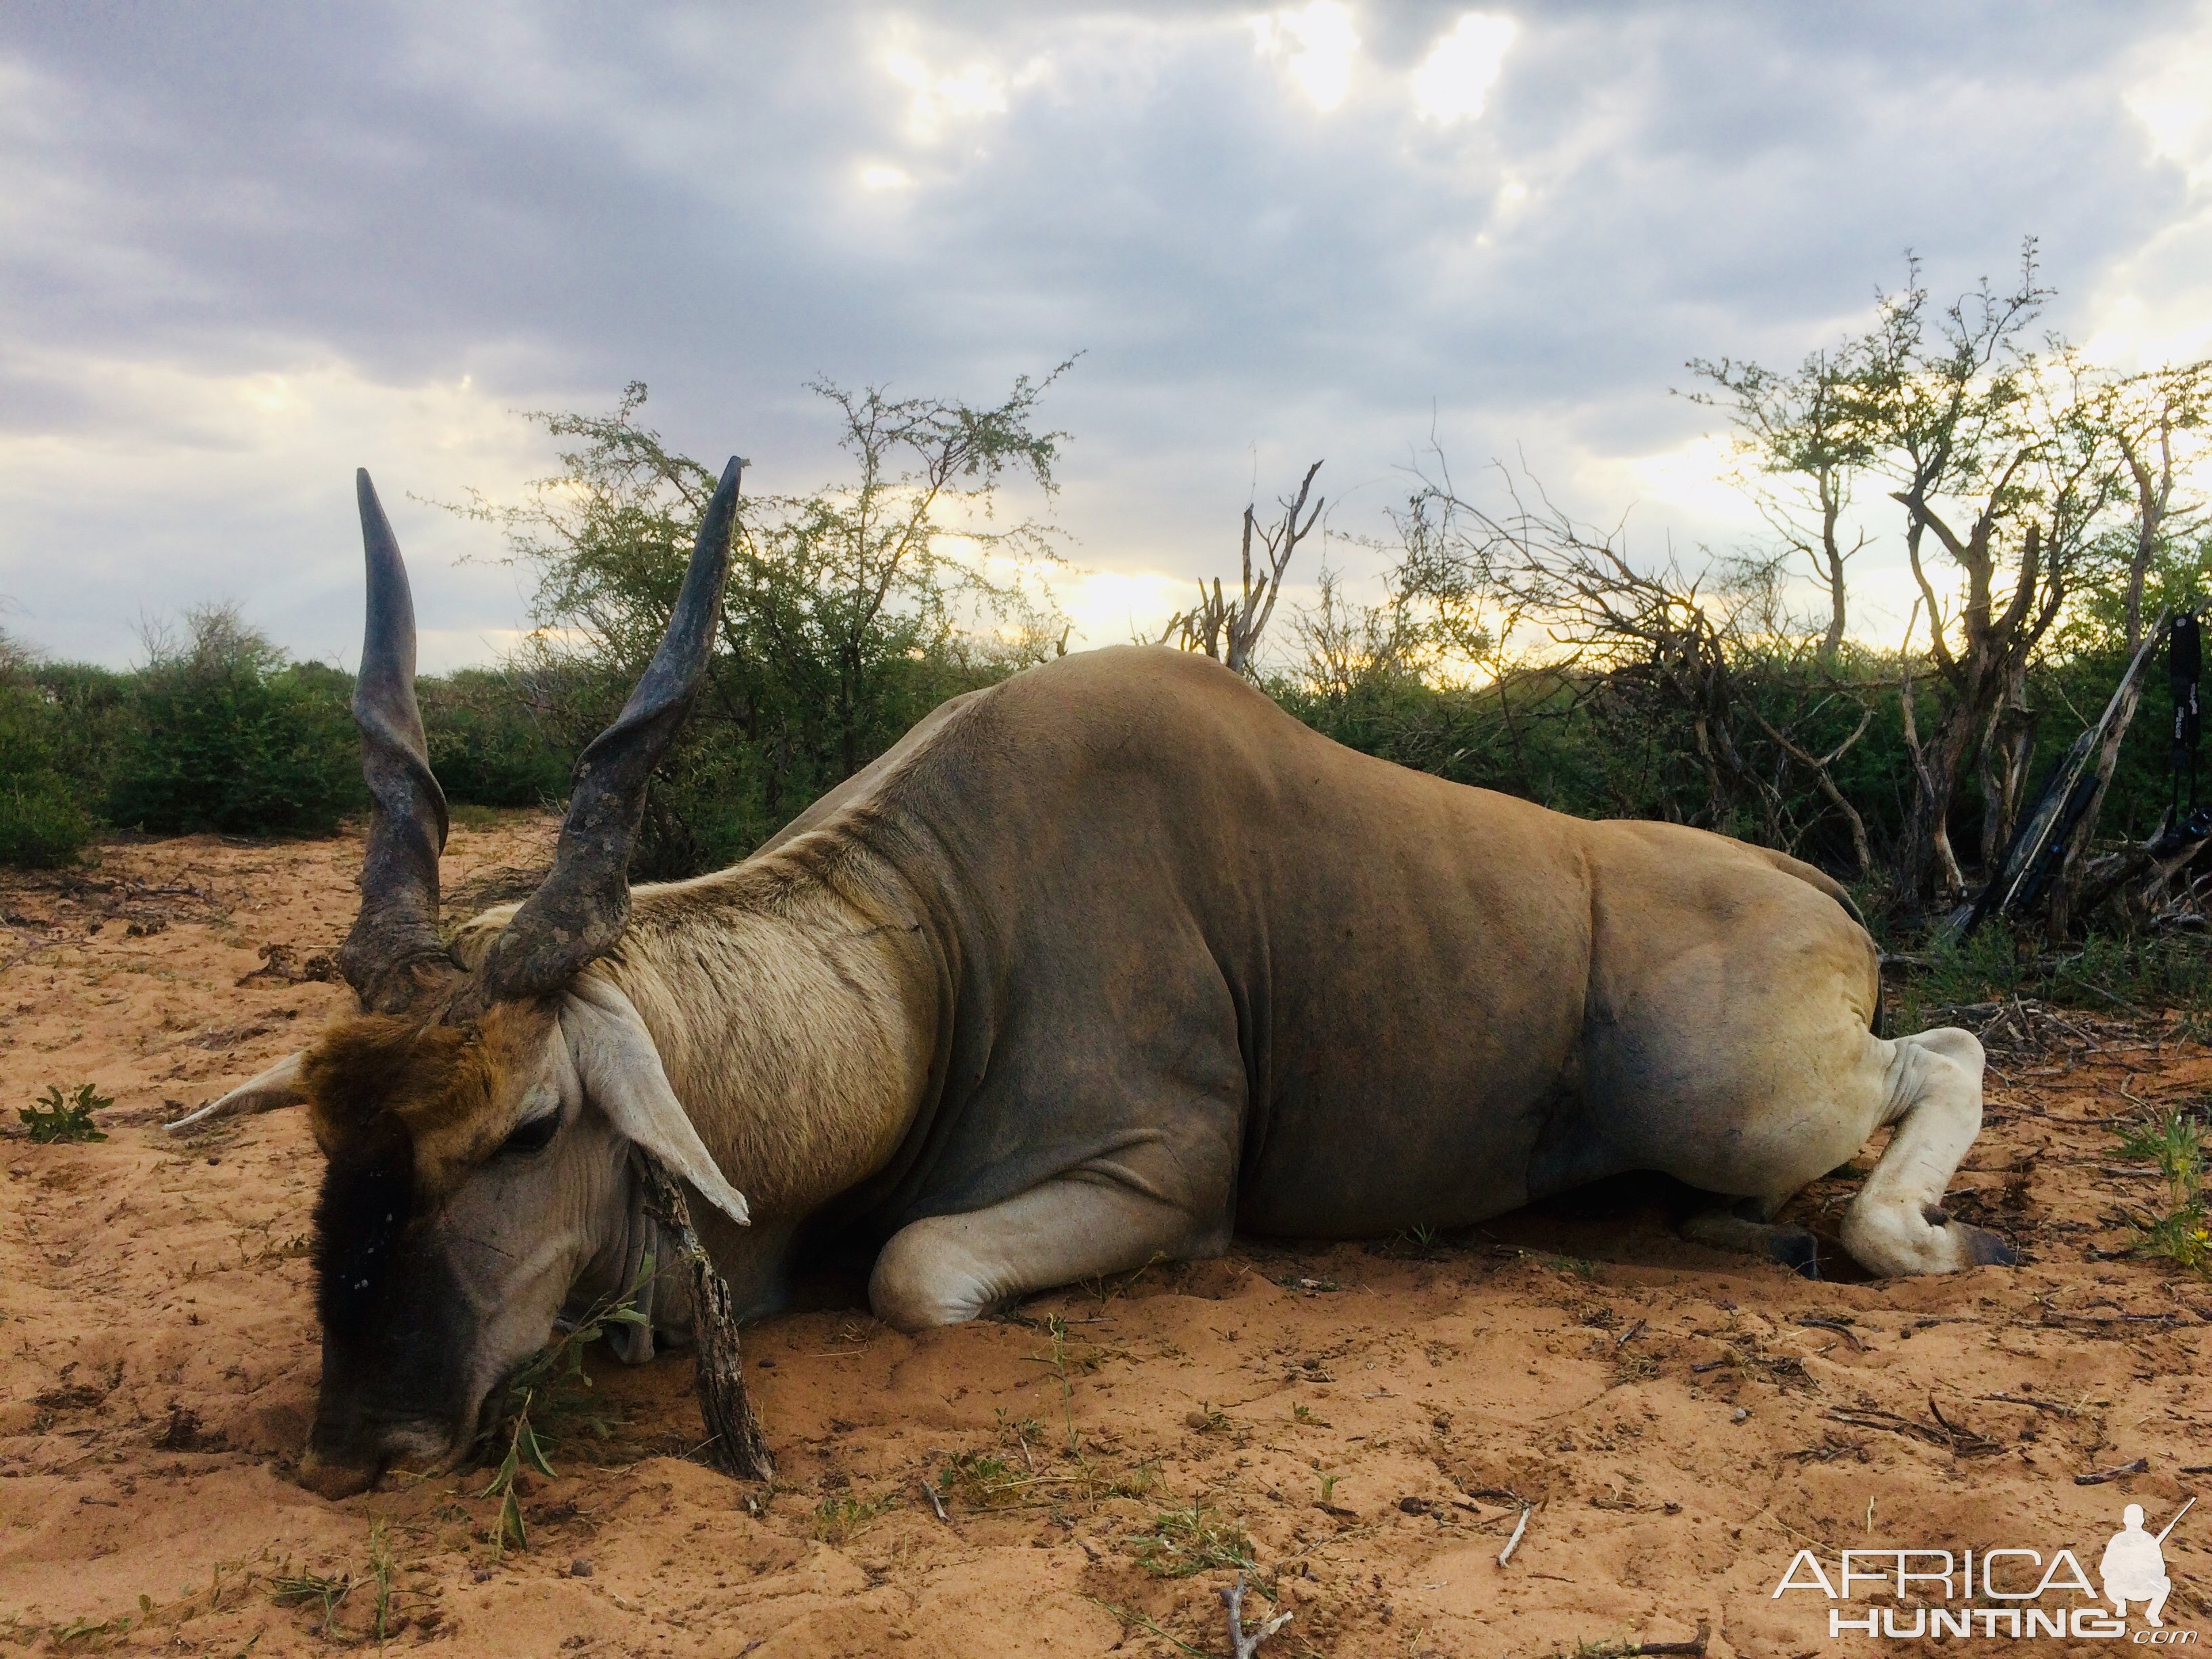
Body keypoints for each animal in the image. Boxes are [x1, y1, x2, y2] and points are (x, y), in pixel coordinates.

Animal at [186, 457, 2026, 1477]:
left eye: (527, 1127)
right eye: (329, 1135)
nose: (356, 1447)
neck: (937, 946)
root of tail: (1812, 887)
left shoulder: (1152, 1180)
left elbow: (914, 1266)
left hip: (1743, 1097)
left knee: (1944, 1053)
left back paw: (1916, 1234)